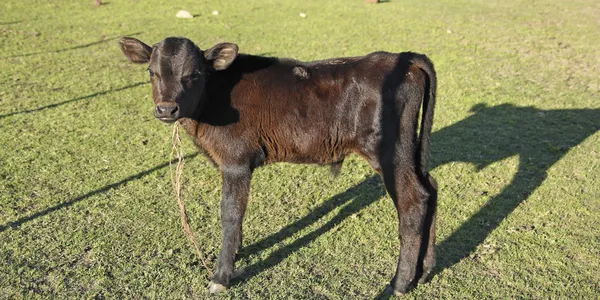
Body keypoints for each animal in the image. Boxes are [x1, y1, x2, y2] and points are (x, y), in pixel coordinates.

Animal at [118, 35, 436, 296]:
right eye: (151, 72)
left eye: (194, 74)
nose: (166, 109)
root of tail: (403, 57)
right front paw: (237, 253)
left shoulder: (235, 161)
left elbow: (230, 213)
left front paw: (221, 276)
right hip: (410, 151)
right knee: (430, 188)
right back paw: (424, 272)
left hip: (390, 152)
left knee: (413, 200)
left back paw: (400, 283)